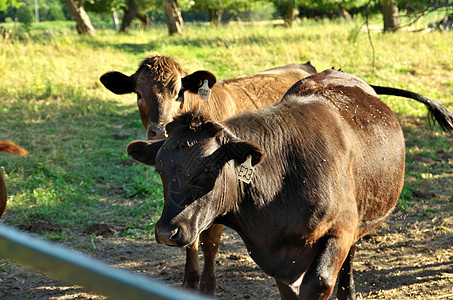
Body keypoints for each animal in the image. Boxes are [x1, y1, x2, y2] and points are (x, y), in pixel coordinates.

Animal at [127, 69, 452, 298]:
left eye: (209, 169)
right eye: (160, 169)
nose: (167, 232)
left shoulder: (339, 232)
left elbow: (318, 282)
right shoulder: (277, 258)